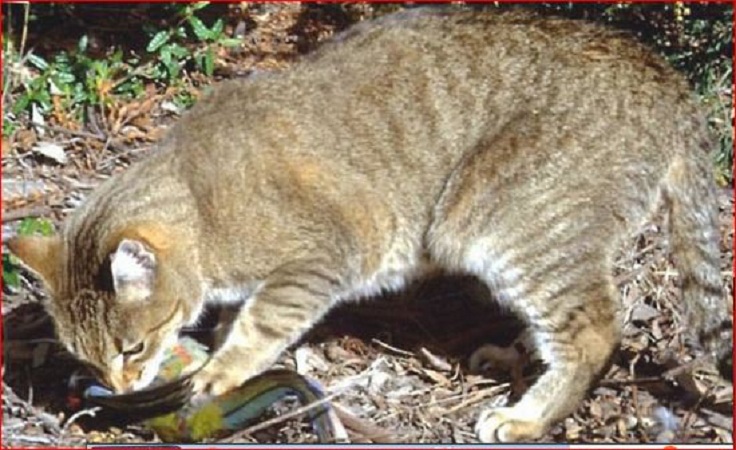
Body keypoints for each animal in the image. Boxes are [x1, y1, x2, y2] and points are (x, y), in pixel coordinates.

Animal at [8, 7, 731, 443]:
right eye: (90, 357)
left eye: (131, 349)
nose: (123, 386)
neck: (200, 197)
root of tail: (665, 79)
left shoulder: (327, 253)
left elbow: (262, 321)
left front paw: (223, 368)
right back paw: (516, 355)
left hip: (504, 223)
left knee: (594, 329)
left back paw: (528, 418)